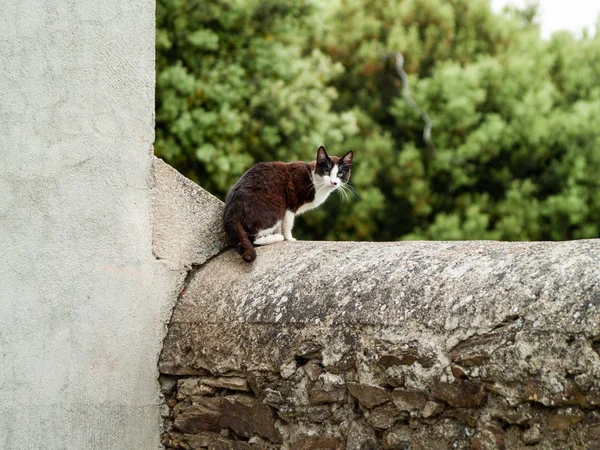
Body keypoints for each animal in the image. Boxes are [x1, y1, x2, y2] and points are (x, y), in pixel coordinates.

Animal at [225, 146, 356, 262]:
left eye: (340, 174)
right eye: (326, 171)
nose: (333, 182)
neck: (314, 181)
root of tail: (231, 213)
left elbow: (280, 227)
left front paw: (279, 234)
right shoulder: (290, 204)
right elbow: (287, 224)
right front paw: (289, 239)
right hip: (275, 207)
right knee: (253, 239)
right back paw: (277, 237)